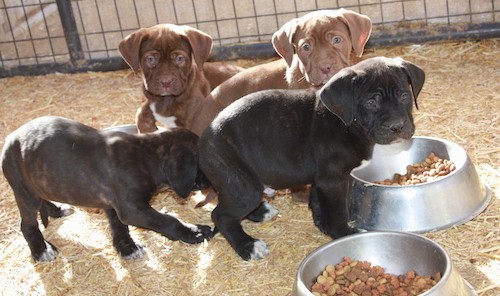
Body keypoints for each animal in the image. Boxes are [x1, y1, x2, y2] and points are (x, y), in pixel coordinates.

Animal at [1, 117, 213, 262]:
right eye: (203, 163)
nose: (212, 183)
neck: (148, 154)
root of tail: (10, 139)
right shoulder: (133, 209)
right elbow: (167, 220)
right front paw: (195, 231)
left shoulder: (114, 203)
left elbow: (118, 225)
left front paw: (127, 247)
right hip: (24, 192)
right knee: (27, 224)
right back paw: (41, 250)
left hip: (39, 183)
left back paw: (57, 210)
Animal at [197, 56, 424, 260]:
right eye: (370, 103)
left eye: (404, 96)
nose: (397, 126)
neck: (347, 123)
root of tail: (204, 141)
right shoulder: (333, 179)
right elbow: (337, 210)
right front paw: (343, 234)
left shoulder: (321, 178)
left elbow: (317, 202)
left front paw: (323, 225)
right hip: (243, 185)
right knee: (221, 215)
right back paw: (248, 246)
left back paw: (261, 213)